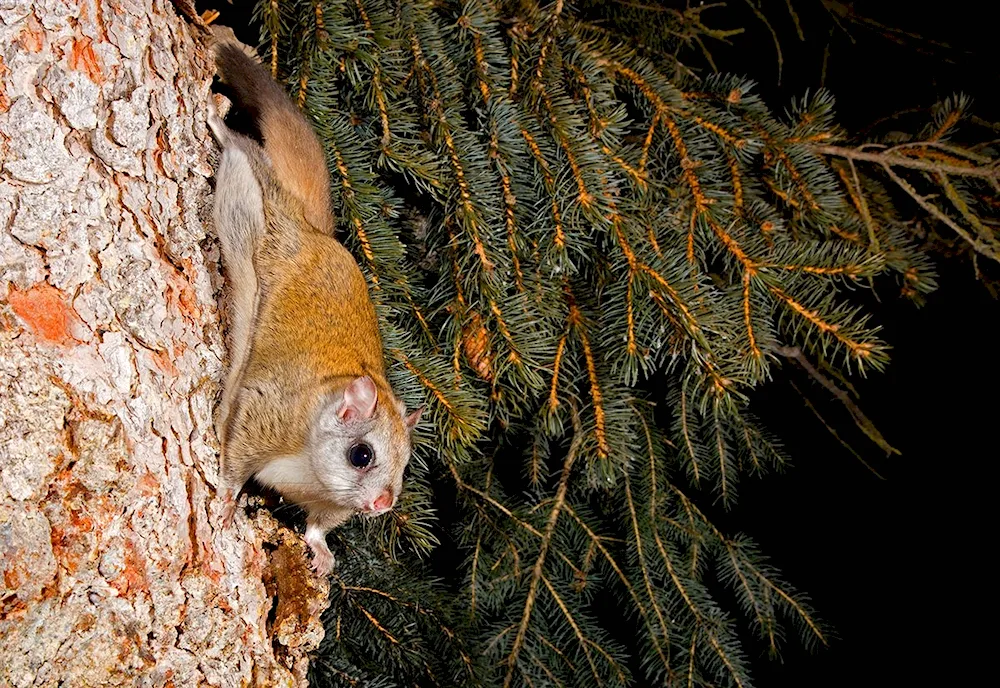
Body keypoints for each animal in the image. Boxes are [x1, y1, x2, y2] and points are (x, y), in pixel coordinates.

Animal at [207, 26, 422, 576]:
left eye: (406, 463)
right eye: (361, 455)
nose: (383, 504)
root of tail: (316, 233)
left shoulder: (328, 503)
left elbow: (320, 524)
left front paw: (322, 552)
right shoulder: (265, 415)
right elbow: (235, 462)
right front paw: (226, 500)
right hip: (255, 209)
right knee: (246, 154)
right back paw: (218, 121)